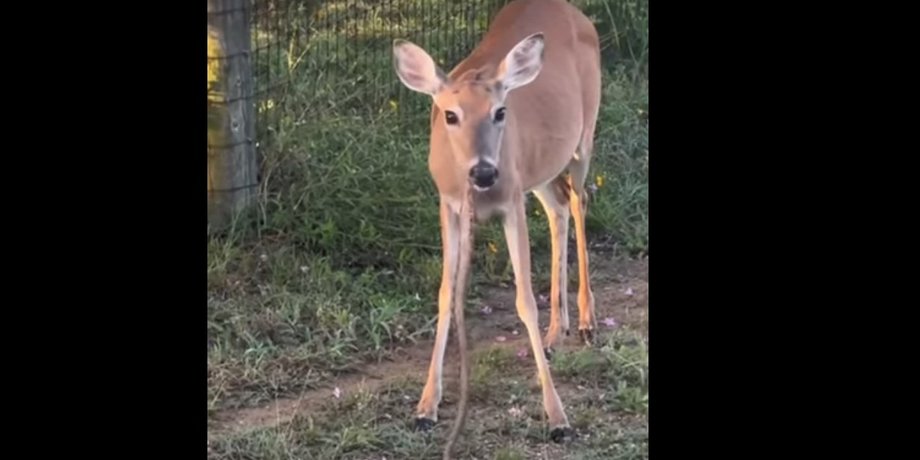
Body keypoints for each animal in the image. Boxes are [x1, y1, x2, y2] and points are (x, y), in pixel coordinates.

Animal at [391, 0, 601, 457]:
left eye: (500, 112)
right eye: (450, 115)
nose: (485, 172)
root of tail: (571, 10)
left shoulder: (510, 202)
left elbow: (524, 300)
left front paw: (558, 418)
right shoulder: (450, 205)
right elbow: (446, 295)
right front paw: (425, 407)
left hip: (584, 135)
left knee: (579, 201)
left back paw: (586, 321)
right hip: (539, 171)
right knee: (559, 207)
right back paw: (555, 334)